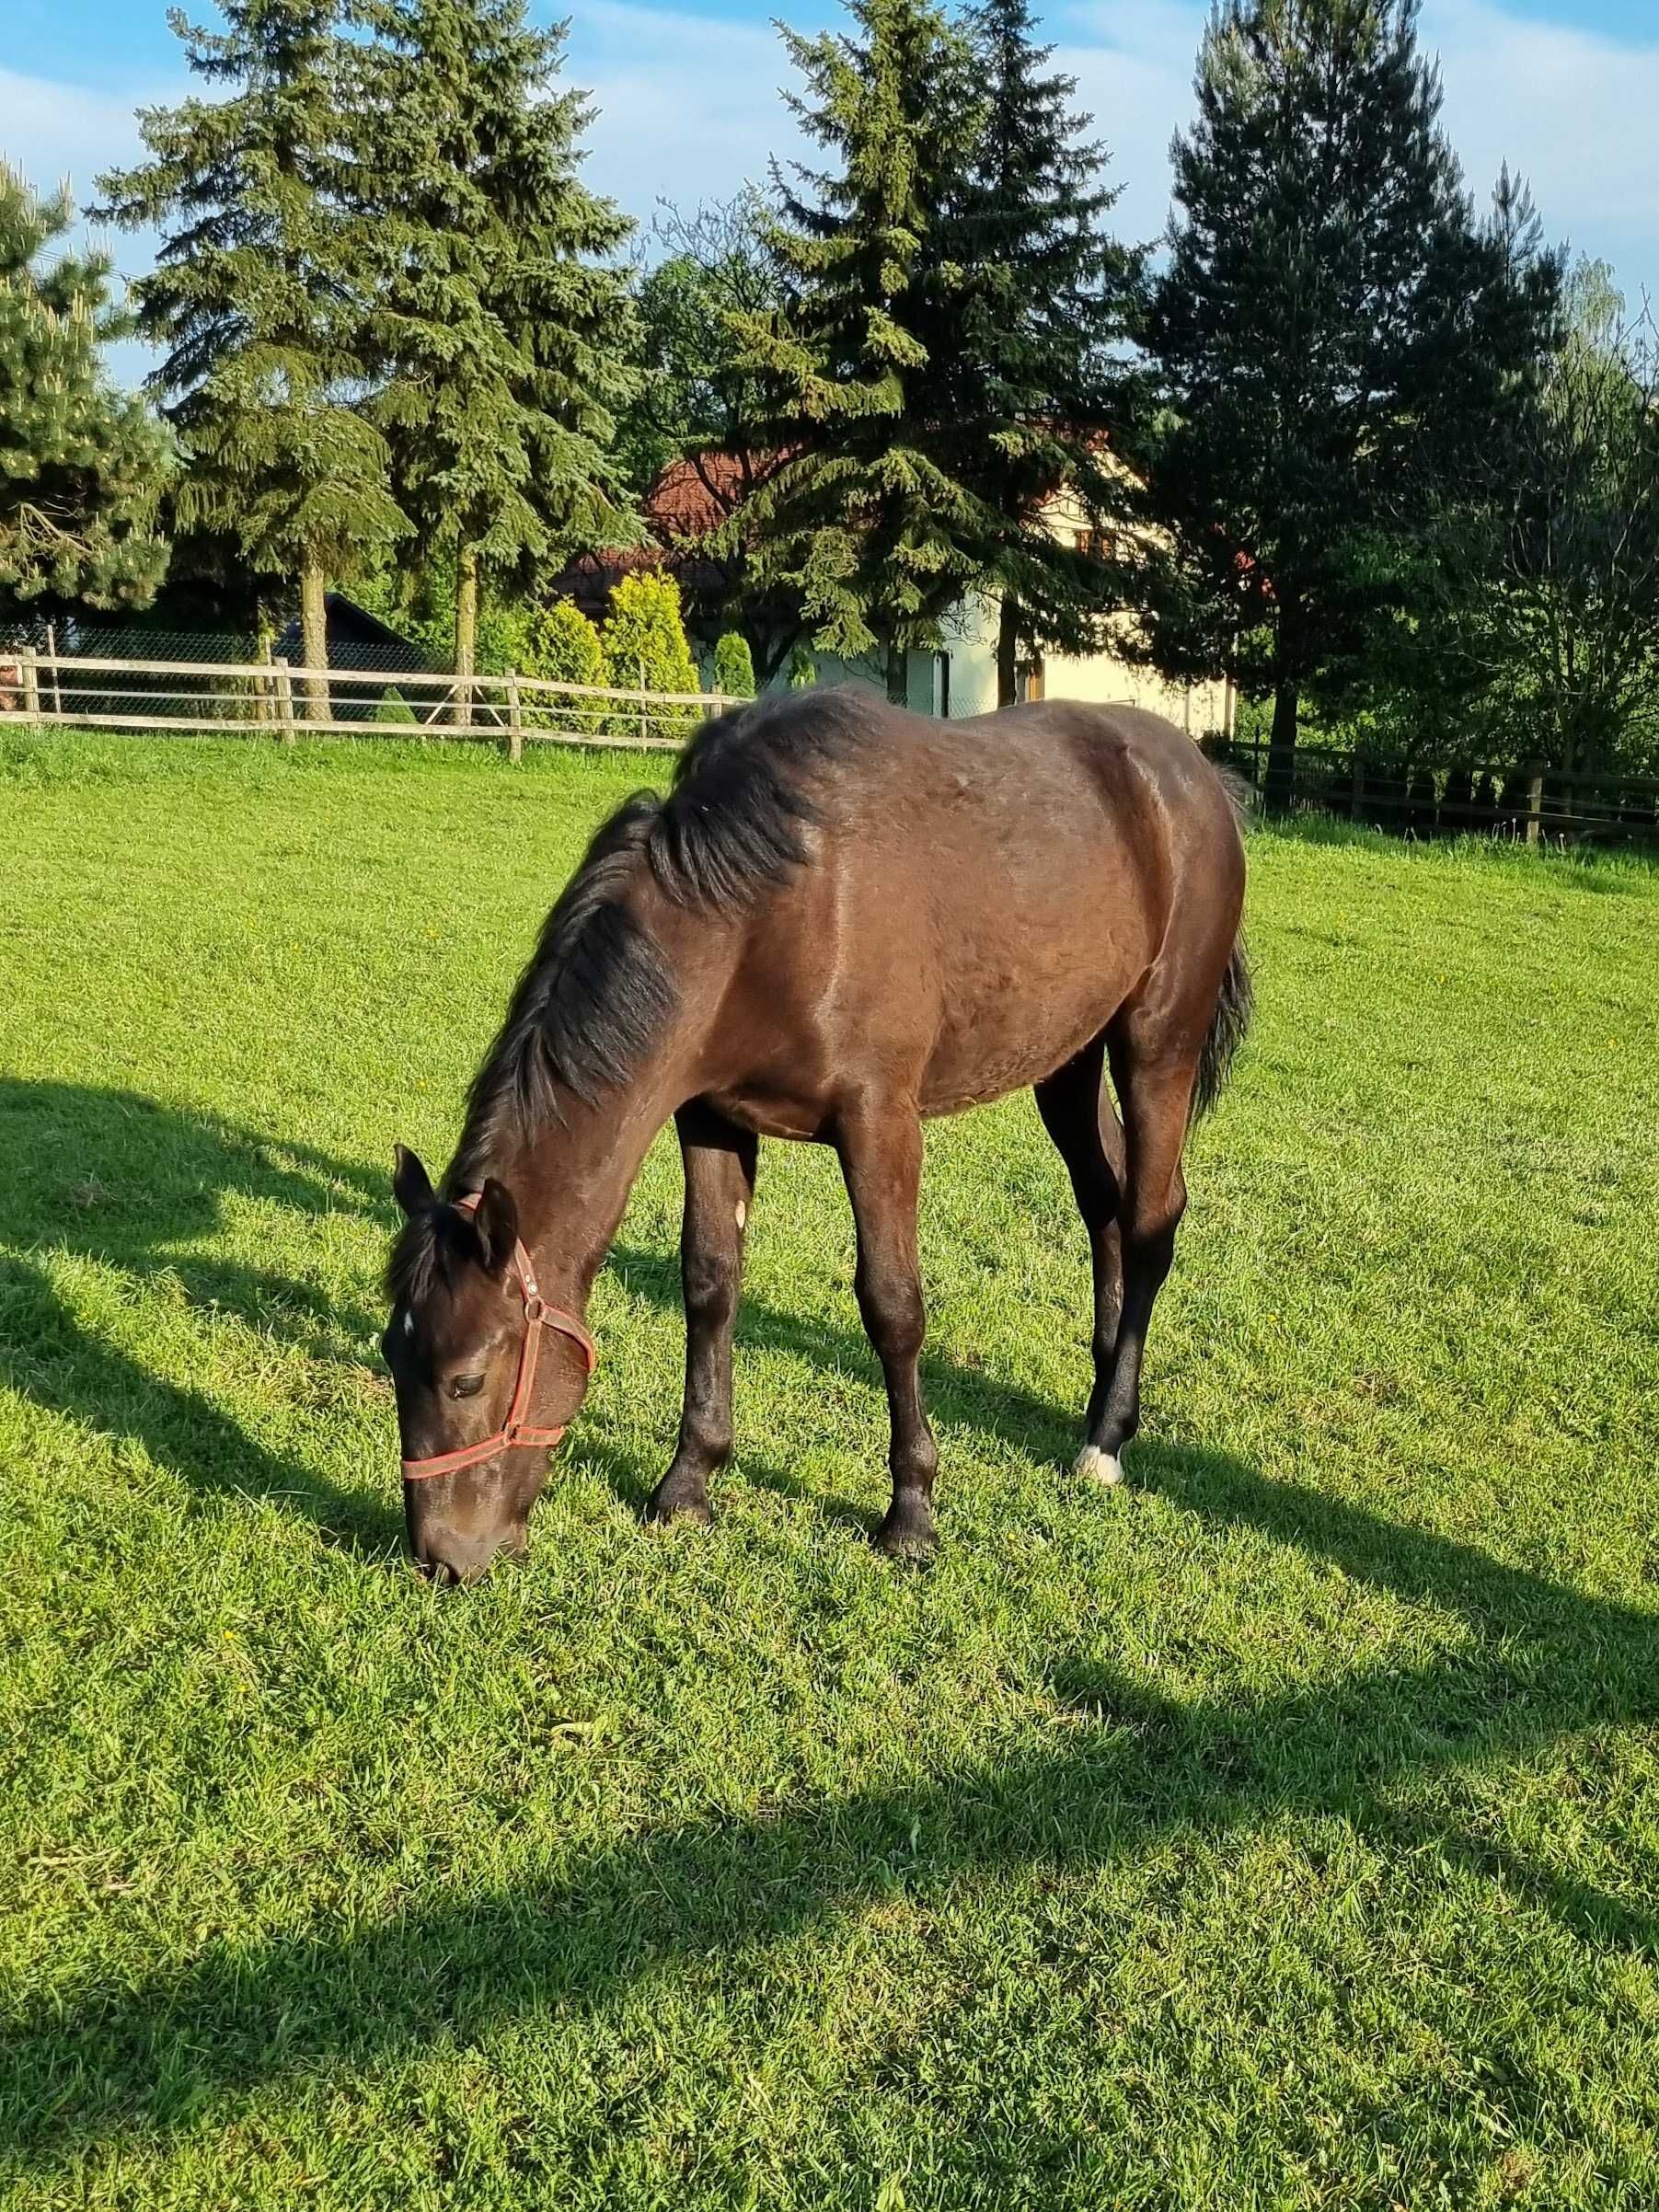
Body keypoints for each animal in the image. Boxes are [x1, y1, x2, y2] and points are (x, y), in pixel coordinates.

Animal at [386, 685, 1247, 1574]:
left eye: (464, 1379)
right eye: (392, 1357)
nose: (439, 1557)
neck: (761, 913)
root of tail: (1196, 775)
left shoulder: (879, 1124)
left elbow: (892, 1307)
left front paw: (910, 1512)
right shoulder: (710, 1118)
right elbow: (709, 1283)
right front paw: (688, 1482)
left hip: (1157, 1045)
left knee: (1149, 1222)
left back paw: (1107, 1439)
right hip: (1066, 1060)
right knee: (1102, 1204)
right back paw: (1104, 1400)